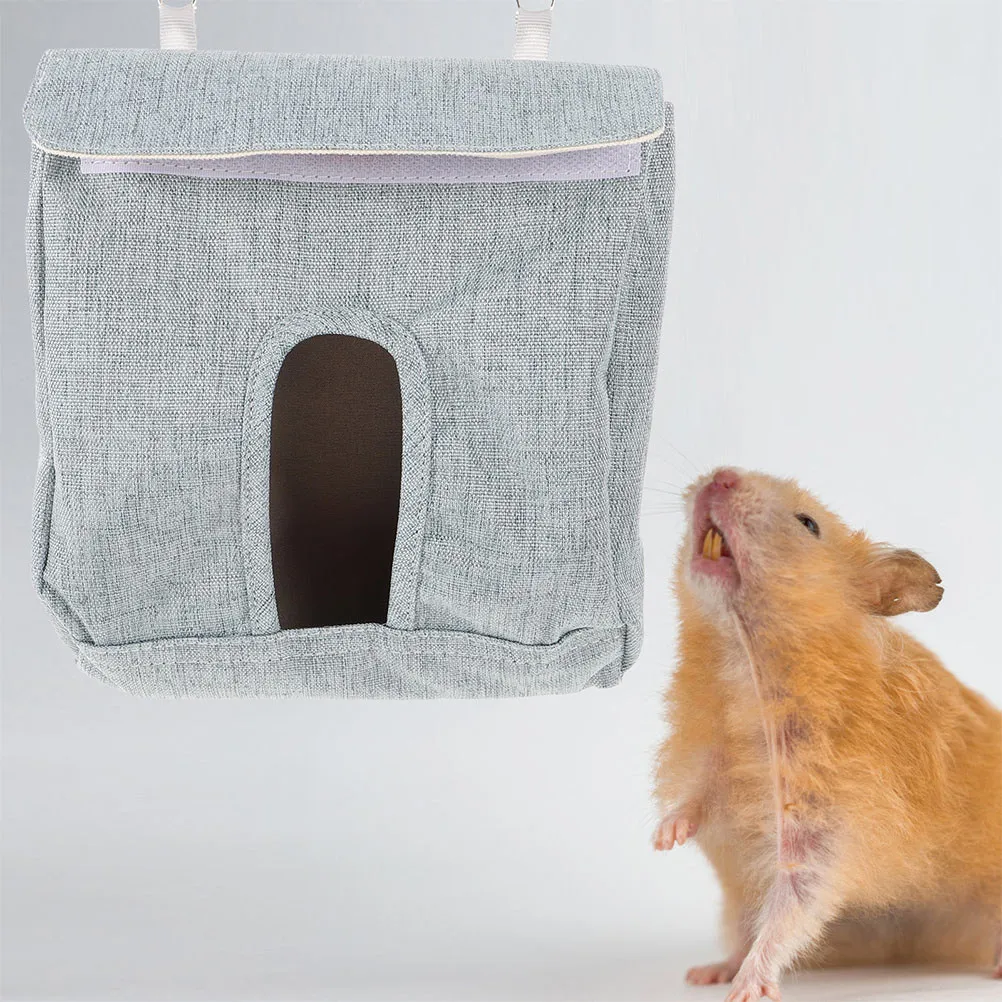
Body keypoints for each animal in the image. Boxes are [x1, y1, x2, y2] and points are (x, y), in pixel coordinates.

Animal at [652, 468, 1001, 1002]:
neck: (745, 662)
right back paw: (708, 972)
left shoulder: (824, 827)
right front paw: (662, 839)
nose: (720, 476)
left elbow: (792, 905)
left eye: (808, 523)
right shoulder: (712, 754)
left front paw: (748, 990)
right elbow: (695, 797)